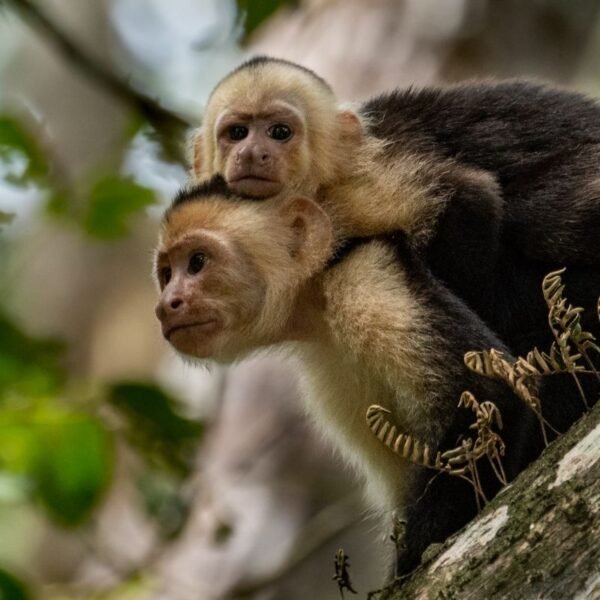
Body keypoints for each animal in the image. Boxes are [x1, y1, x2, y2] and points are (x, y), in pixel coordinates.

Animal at [155, 177, 540, 576]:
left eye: (197, 262)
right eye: (166, 275)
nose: (166, 305)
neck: (315, 299)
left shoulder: (364, 276)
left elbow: (491, 396)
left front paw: (408, 564)